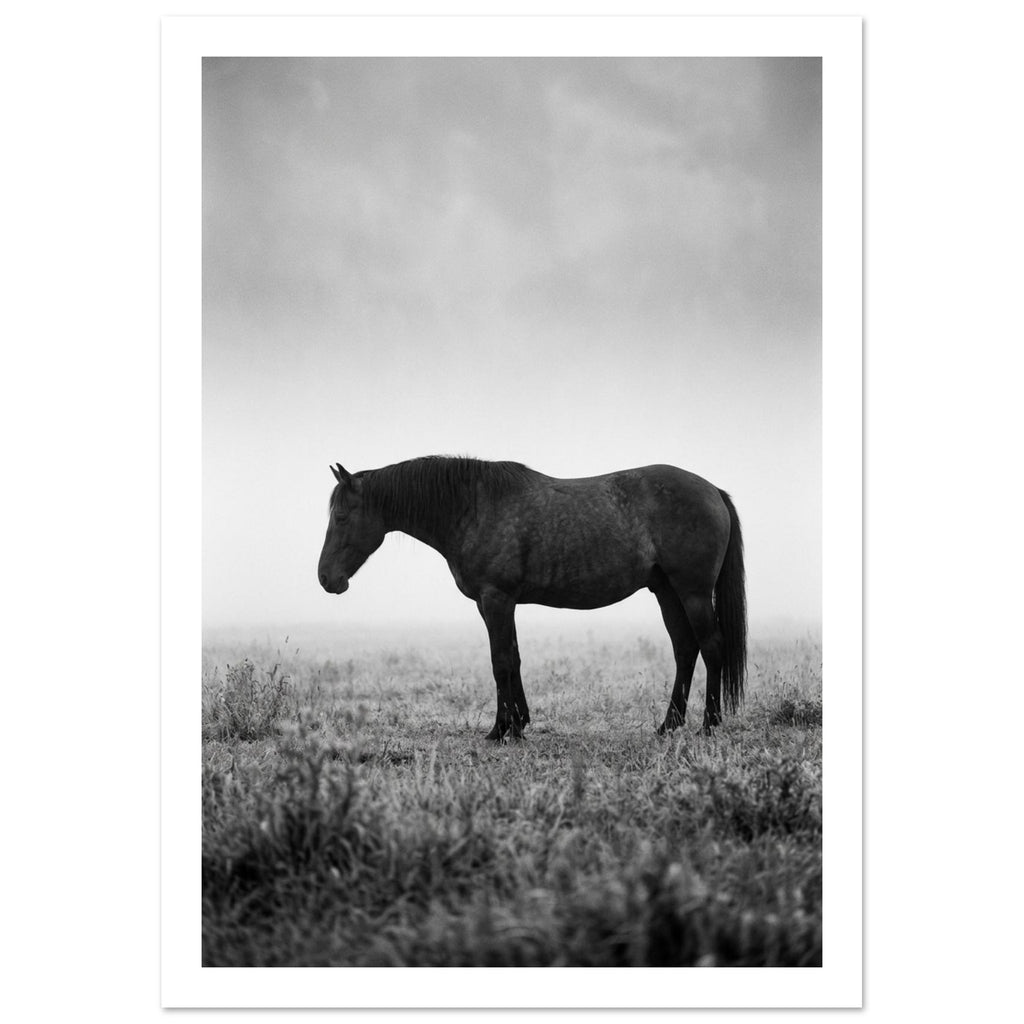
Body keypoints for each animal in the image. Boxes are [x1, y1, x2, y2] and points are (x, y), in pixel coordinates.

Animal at [318, 456, 746, 740]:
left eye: (341, 517)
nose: (326, 579)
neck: (472, 507)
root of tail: (713, 491)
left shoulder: (496, 599)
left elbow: (501, 661)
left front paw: (500, 730)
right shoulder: (494, 604)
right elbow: (514, 657)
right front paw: (518, 723)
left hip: (692, 592)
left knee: (711, 646)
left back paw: (709, 725)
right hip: (667, 592)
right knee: (685, 649)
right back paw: (668, 725)